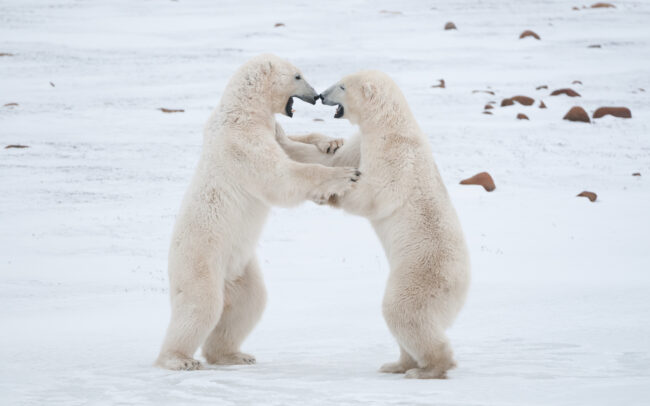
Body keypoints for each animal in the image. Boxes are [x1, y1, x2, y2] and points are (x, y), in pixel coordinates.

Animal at [155, 54, 361, 371]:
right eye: (298, 76)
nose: (315, 96)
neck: (243, 109)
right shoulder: (242, 140)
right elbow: (280, 176)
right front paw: (344, 175)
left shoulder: (266, 128)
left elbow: (290, 145)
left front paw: (331, 142)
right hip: (201, 258)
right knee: (200, 305)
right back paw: (179, 359)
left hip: (240, 266)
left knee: (249, 302)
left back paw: (233, 354)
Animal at [276, 70, 470, 379]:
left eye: (342, 86)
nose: (320, 95)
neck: (388, 124)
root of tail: (464, 284)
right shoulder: (363, 142)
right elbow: (332, 161)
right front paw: (283, 135)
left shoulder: (394, 154)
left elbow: (373, 193)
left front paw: (328, 194)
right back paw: (397, 364)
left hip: (421, 273)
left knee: (404, 312)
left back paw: (428, 368)